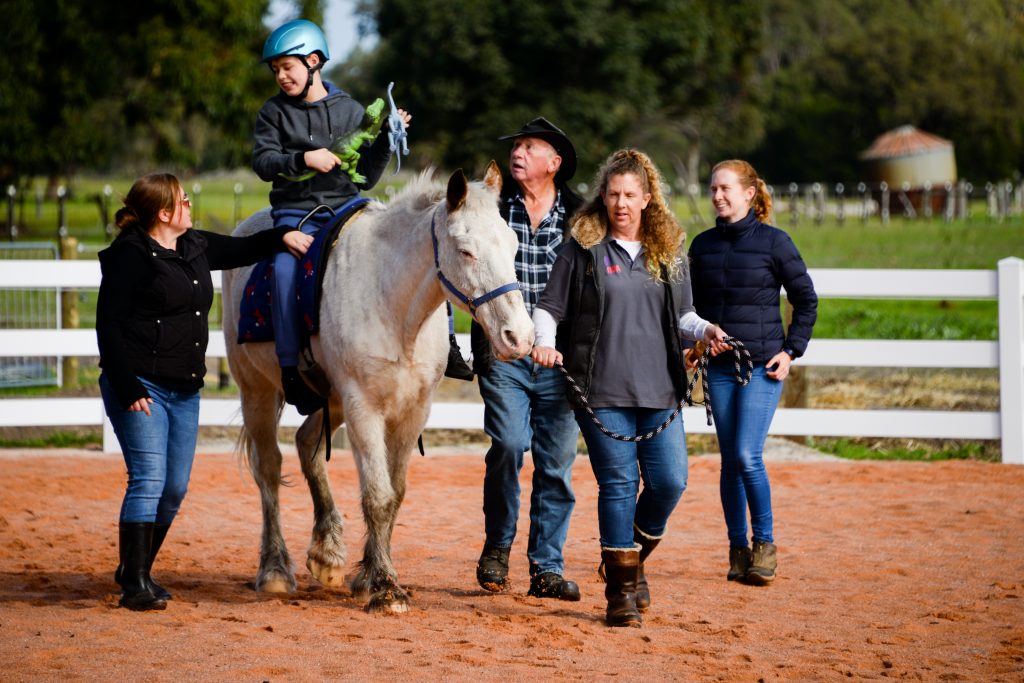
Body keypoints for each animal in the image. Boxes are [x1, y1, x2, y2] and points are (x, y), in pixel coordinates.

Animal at [220, 162, 532, 610]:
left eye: (512, 245)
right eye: (466, 251)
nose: (518, 337)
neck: (393, 305)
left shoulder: (413, 412)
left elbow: (395, 494)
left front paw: (369, 574)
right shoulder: (363, 408)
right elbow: (378, 496)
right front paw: (385, 587)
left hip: (329, 401)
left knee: (306, 445)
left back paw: (327, 551)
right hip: (257, 391)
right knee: (269, 469)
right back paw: (275, 569)